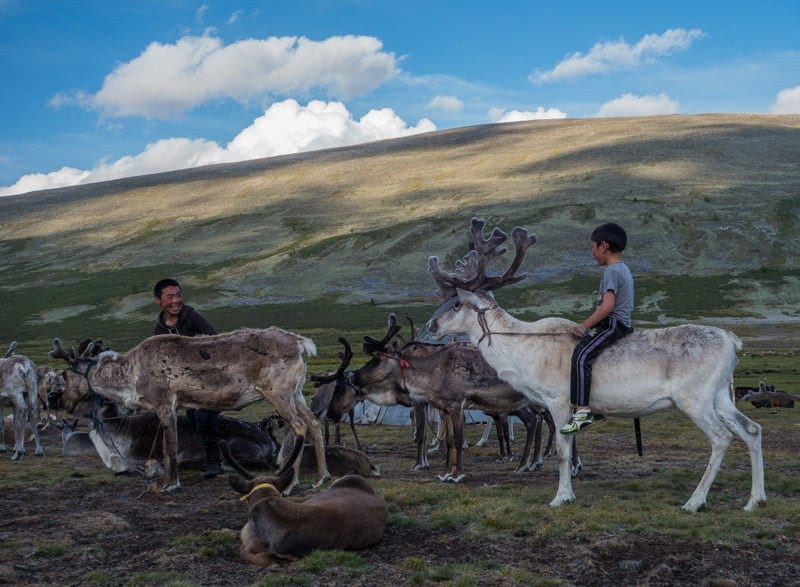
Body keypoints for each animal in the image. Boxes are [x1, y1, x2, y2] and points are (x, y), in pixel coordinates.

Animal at [48, 327, 328, 494]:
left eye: (65, 375)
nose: (60, 403)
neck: (131, 376)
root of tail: (300, 343)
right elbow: (164, 446)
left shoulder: (164, 402)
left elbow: (170, 447)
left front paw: (170, 484)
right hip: (296, 393)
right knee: (313, 423)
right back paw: (319, 477)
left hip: (277, 392)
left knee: (298, 427)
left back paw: (290, 482)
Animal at [423, 217, 766, 511]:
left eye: (456, 303)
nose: (431, 326)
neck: (521, 349)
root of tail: (731, 340)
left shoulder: (558, 401)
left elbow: (563, 451)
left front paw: (562, 496)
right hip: (720, 397)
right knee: (753, 430)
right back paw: (755, 500)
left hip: (694, 399)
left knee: (721, 438)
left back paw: (695, 501)